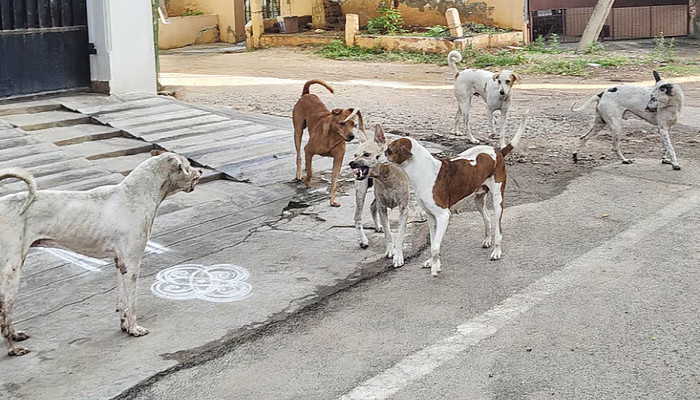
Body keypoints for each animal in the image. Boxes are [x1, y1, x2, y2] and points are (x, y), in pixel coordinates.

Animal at [0, 151, 201, 356]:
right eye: (187, 165)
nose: (200, 171)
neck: (136, 195)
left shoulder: (121, 262)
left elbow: (122, 301)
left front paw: (125, 326)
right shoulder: (132, 264)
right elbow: (132, 302)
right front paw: (135, 329)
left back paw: (16, 335)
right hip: (11, 273)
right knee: (5, 311)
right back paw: (13, 348)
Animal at [349, 124, 411, 268]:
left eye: (367, 154)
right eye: (355, 155)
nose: (352, 163)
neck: (387, 175)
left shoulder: (403, 208)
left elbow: (400, 234)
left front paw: (398, 256)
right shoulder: (382, 207)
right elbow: (389, 233)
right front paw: (390, 251)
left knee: (372, 206)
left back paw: (377, 226)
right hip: (361, 192)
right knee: (357, 216)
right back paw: (363, 239)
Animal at [380, 114, 528, 277]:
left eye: (389, 150)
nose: (375, 156)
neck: (423, 170)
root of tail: (498, 151)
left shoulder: (443, 216)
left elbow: (434, 246)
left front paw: (435, 268)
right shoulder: (431, 216)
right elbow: (433, 242)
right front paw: (432, 262)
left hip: (497, 200)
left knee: (498, 228)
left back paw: (496, 251)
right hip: (479, 200)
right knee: (487, 218)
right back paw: (488, 240)